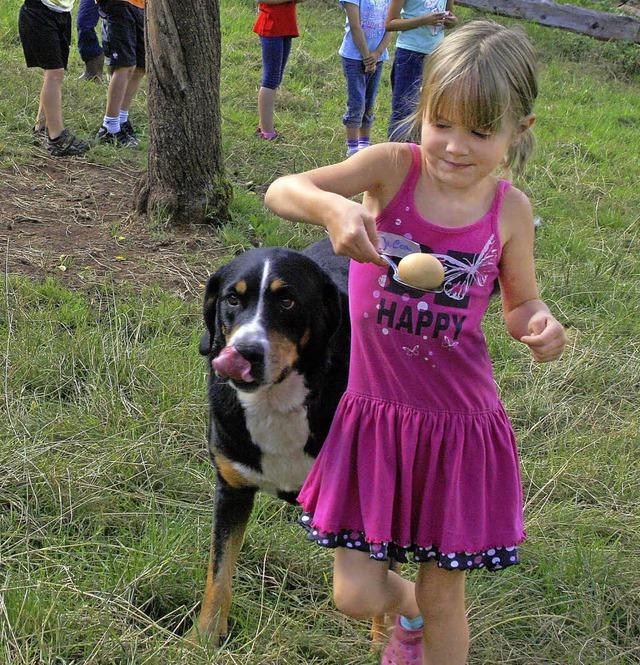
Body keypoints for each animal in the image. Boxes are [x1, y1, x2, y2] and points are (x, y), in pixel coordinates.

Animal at [191, 239, 350, 644]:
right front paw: (204, 639)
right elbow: (219, 574)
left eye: (288, 301)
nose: (246, 352)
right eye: (232, 299)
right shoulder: (231, 490)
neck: (275, 403)